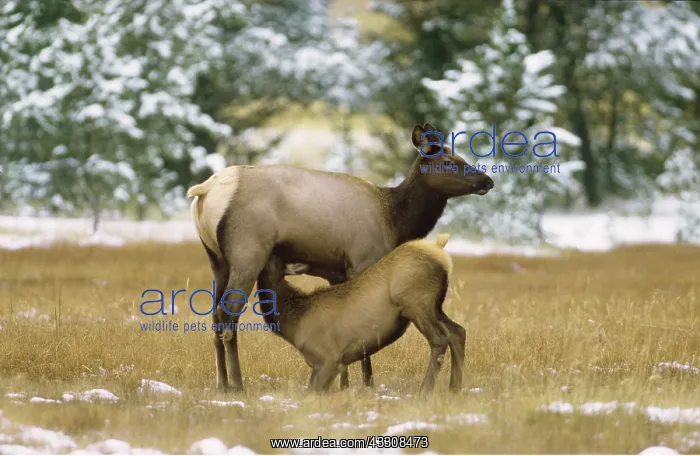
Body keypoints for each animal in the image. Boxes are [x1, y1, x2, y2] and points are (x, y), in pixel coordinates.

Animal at [187, 123, 493, 392]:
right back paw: (237, 384)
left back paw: (222, 383)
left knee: (214, 314)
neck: (396, 221)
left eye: (462, 156)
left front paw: (343, 384)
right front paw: (367, 383)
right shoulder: (362, 258)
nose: (487, 180)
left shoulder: (335, 271)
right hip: (248, 252)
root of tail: (205, 191)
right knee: (228, 313)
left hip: (217, 260)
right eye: (450, 162)